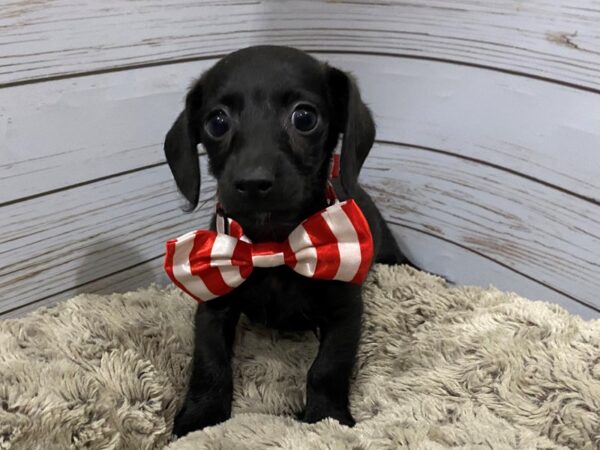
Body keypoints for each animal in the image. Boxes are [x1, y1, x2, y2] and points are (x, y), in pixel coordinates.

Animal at [162, 44, 410, 436]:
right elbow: (210, 363)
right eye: (217, 122)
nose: (252, 182)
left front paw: (326, 416)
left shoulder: (345, 313)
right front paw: (200, 418)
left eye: (304, 118)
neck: (273, 247)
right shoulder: (213, 303)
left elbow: (326, 369)